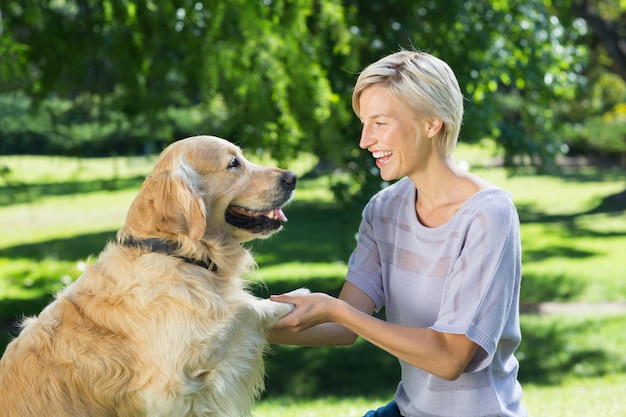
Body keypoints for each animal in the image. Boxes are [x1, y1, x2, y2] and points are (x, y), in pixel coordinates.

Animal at [0, 135, 304, 414]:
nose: (293, 177)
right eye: (233, 164)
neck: (175, 253)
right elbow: (245, 309)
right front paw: (295, 299)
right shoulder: (170, 388)